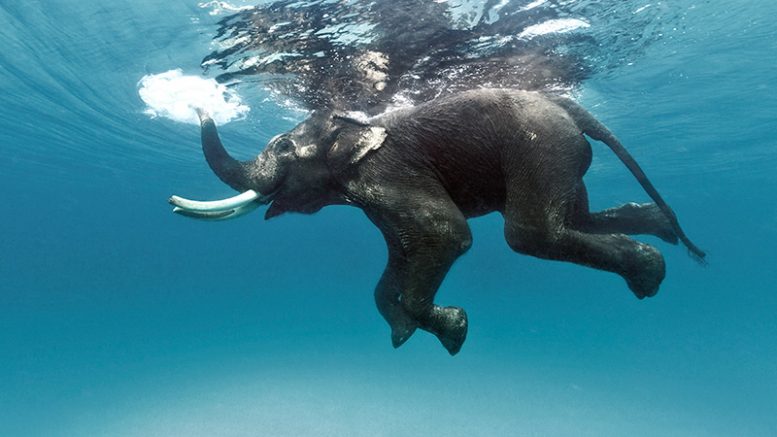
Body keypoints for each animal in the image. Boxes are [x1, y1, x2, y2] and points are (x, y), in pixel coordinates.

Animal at [170, 88, 705, 355]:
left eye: (282, 147)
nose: (198, 101)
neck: (354, 125)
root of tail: (572, 107)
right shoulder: (376, 200)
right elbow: (397, 262)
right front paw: (404, 335)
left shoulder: (388, 172)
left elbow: (447, 234)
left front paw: (454, 331)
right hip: (561, 153)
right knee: (575, 216)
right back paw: (657, 238)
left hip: (542, 145)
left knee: (531, 233)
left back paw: (650, 272)